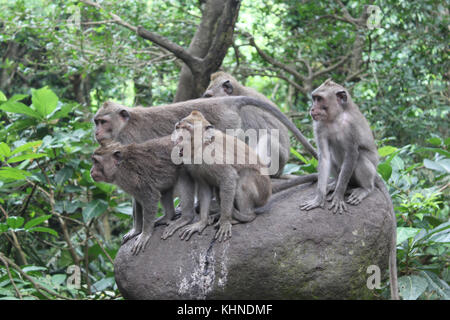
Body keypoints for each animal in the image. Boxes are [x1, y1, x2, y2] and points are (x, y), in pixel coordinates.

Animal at [300, 79, 400, 300]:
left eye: (319, 99)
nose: (312, 109)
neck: (336, 118)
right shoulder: (319, 126)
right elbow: (324, 156)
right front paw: (319, 197)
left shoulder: (351, 127)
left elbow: (352, 154)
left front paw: (338, 197)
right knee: (334, 157)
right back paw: (334, 183)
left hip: (369, 171)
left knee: (360, 157)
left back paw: (362, 189)